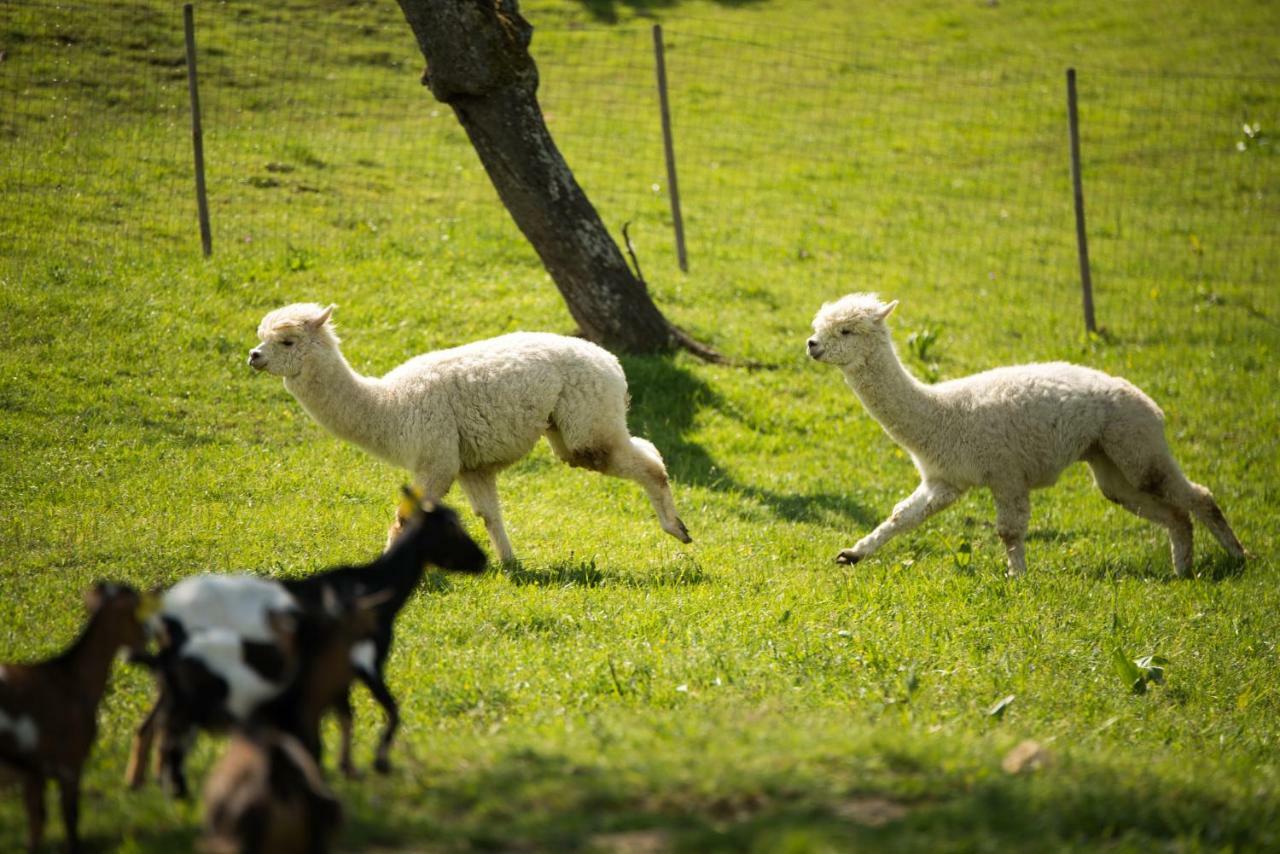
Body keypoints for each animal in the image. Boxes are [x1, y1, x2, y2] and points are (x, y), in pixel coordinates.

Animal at [0, 583, 148, 850]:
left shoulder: (37, 774)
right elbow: (69, 818)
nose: (146, 641)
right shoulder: (68, 766)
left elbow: (39, 822)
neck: (67, 675)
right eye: (134, 612)